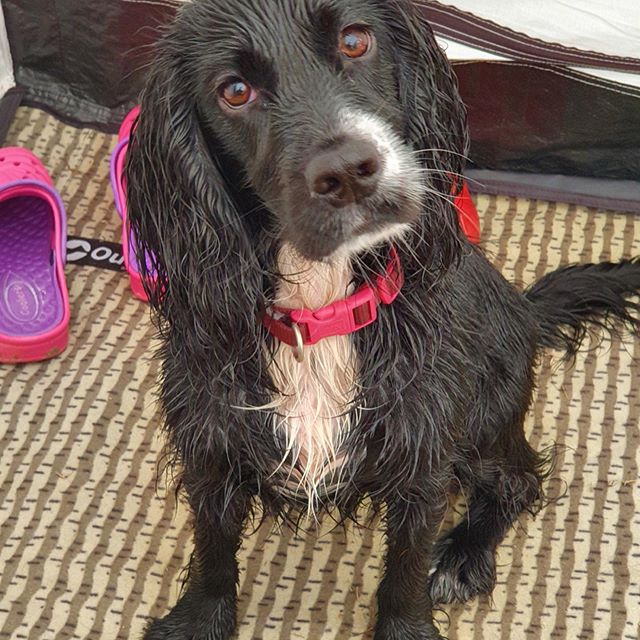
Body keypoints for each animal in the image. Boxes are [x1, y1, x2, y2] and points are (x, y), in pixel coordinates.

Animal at [127, 2, 640, 636]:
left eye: (354, 41)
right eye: (235, 90)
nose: (349, 171)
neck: (320, 310)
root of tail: (523, 307)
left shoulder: (425, 457)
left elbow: (405, 572)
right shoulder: (210, 442)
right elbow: (214, 551)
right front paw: (199, 619)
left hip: (485, 420)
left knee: (518, 482)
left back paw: (463, 557)